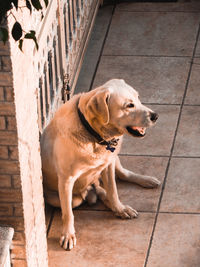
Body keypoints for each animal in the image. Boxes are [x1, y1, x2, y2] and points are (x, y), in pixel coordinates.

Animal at [41, 79, 159, 251]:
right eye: (129, 105)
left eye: (138, 98)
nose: (155, 116)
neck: (93, 135)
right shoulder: (66, 179)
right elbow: (68, 213)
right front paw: (68, 235)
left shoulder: (108, 165)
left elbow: (113, 190)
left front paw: (119, 208)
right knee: (87, 195)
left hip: (115, 158)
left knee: (122, 174)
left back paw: (146, 181)